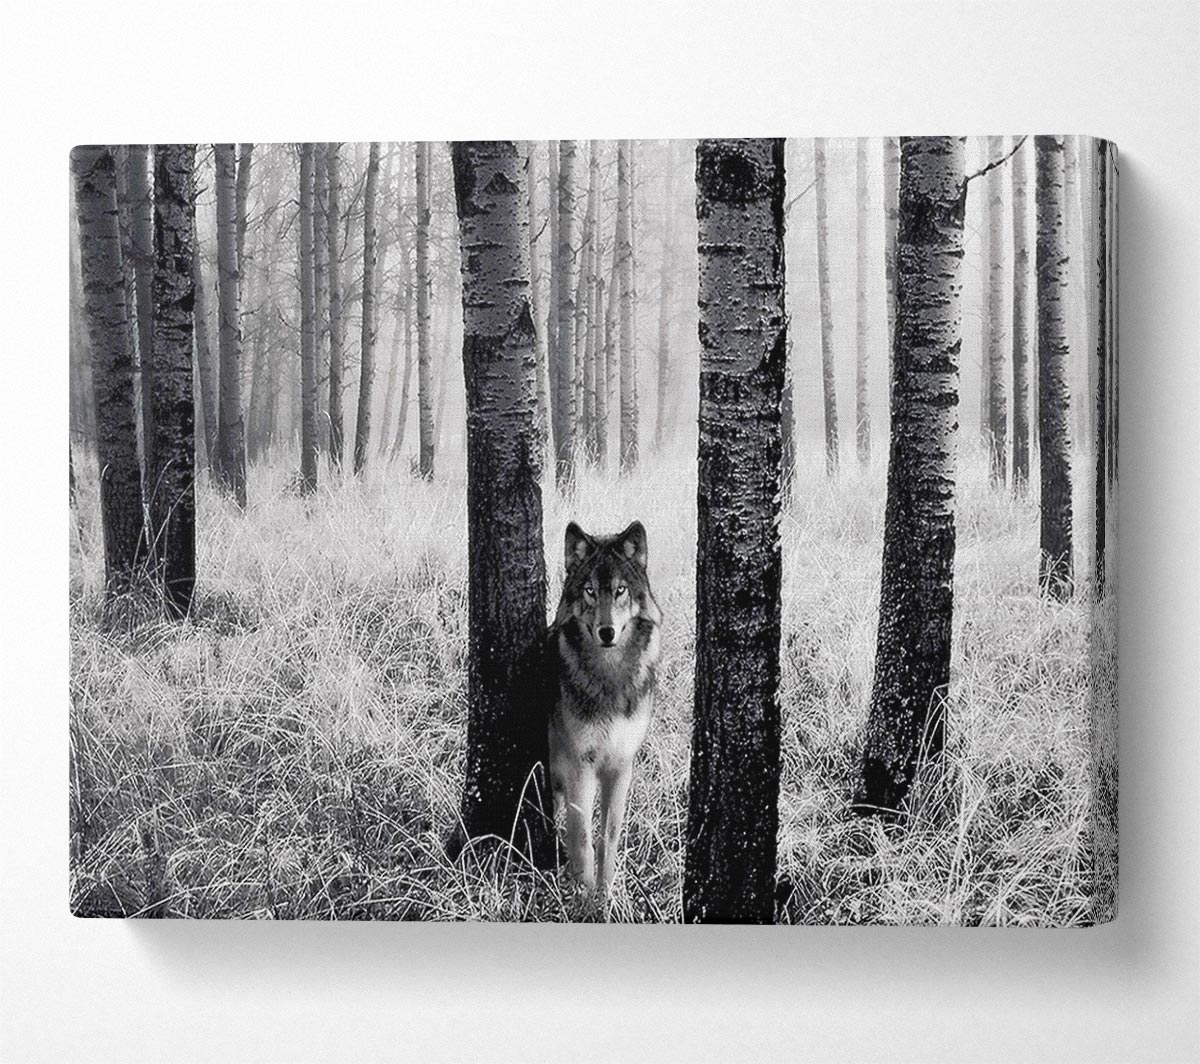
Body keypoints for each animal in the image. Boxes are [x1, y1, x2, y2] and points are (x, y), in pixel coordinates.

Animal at [549, 520, 661, 903]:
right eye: (589, 591)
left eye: (620, 591)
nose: (607, 631)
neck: (609, 679)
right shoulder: (579, 765)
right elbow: (582, 835)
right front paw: (583, 896)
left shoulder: (621, 765)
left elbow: (608, 836)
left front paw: (606, 894)